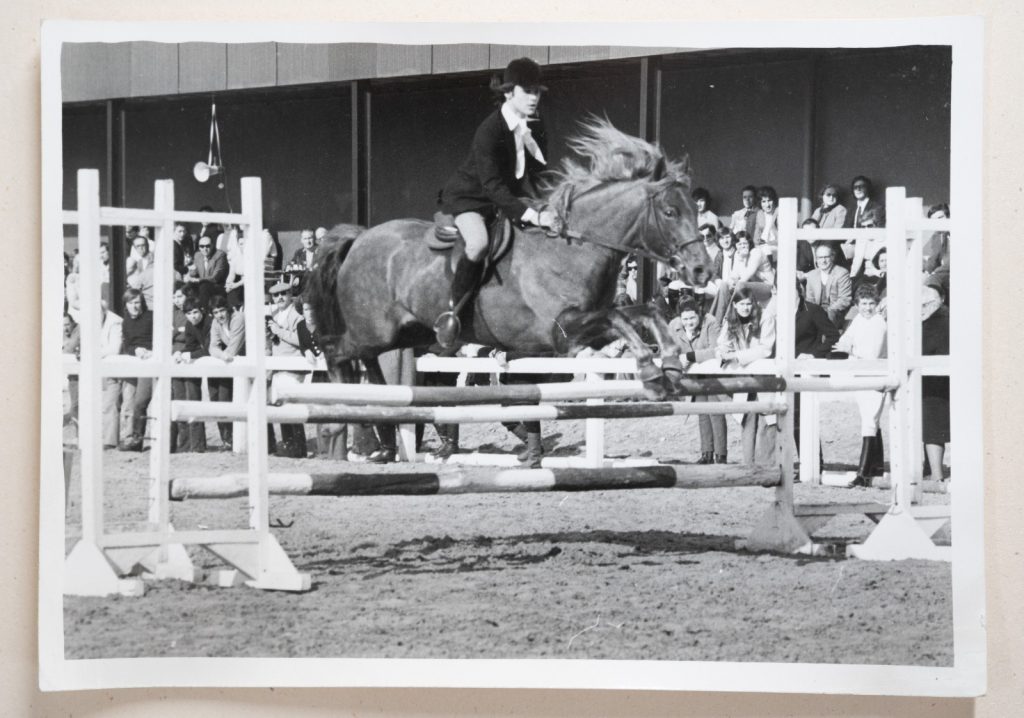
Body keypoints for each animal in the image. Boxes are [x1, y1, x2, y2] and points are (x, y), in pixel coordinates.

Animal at [305, 119, 711, 451]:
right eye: (670, 212)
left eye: (695, 209)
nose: (702, 271)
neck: (576, 247)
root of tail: (359, 237)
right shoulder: (563, 332)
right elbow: (620, 318)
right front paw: (651, 370)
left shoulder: (587, 332)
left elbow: (644, 312)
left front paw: (672, 363)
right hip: (374, 331)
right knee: (336, 351)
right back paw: (348, 427)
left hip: (405, 333)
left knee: (365, 364)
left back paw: (379, 430)